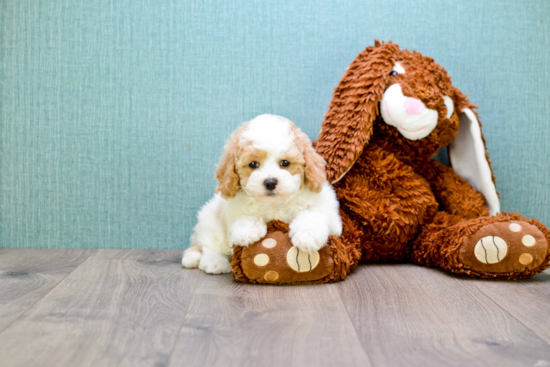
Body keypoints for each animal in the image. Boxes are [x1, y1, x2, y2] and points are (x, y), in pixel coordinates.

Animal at [183, 114, 342, 274]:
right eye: (253, 164)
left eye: (285, 163)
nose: (270, 182)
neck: (274, 204)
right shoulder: (232, 209)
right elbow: (245, 216)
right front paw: (247, 230)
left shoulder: (329, 212)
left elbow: (313, 213)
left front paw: (308, 235)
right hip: (211, 221)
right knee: (210, 246)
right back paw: (215, 262)